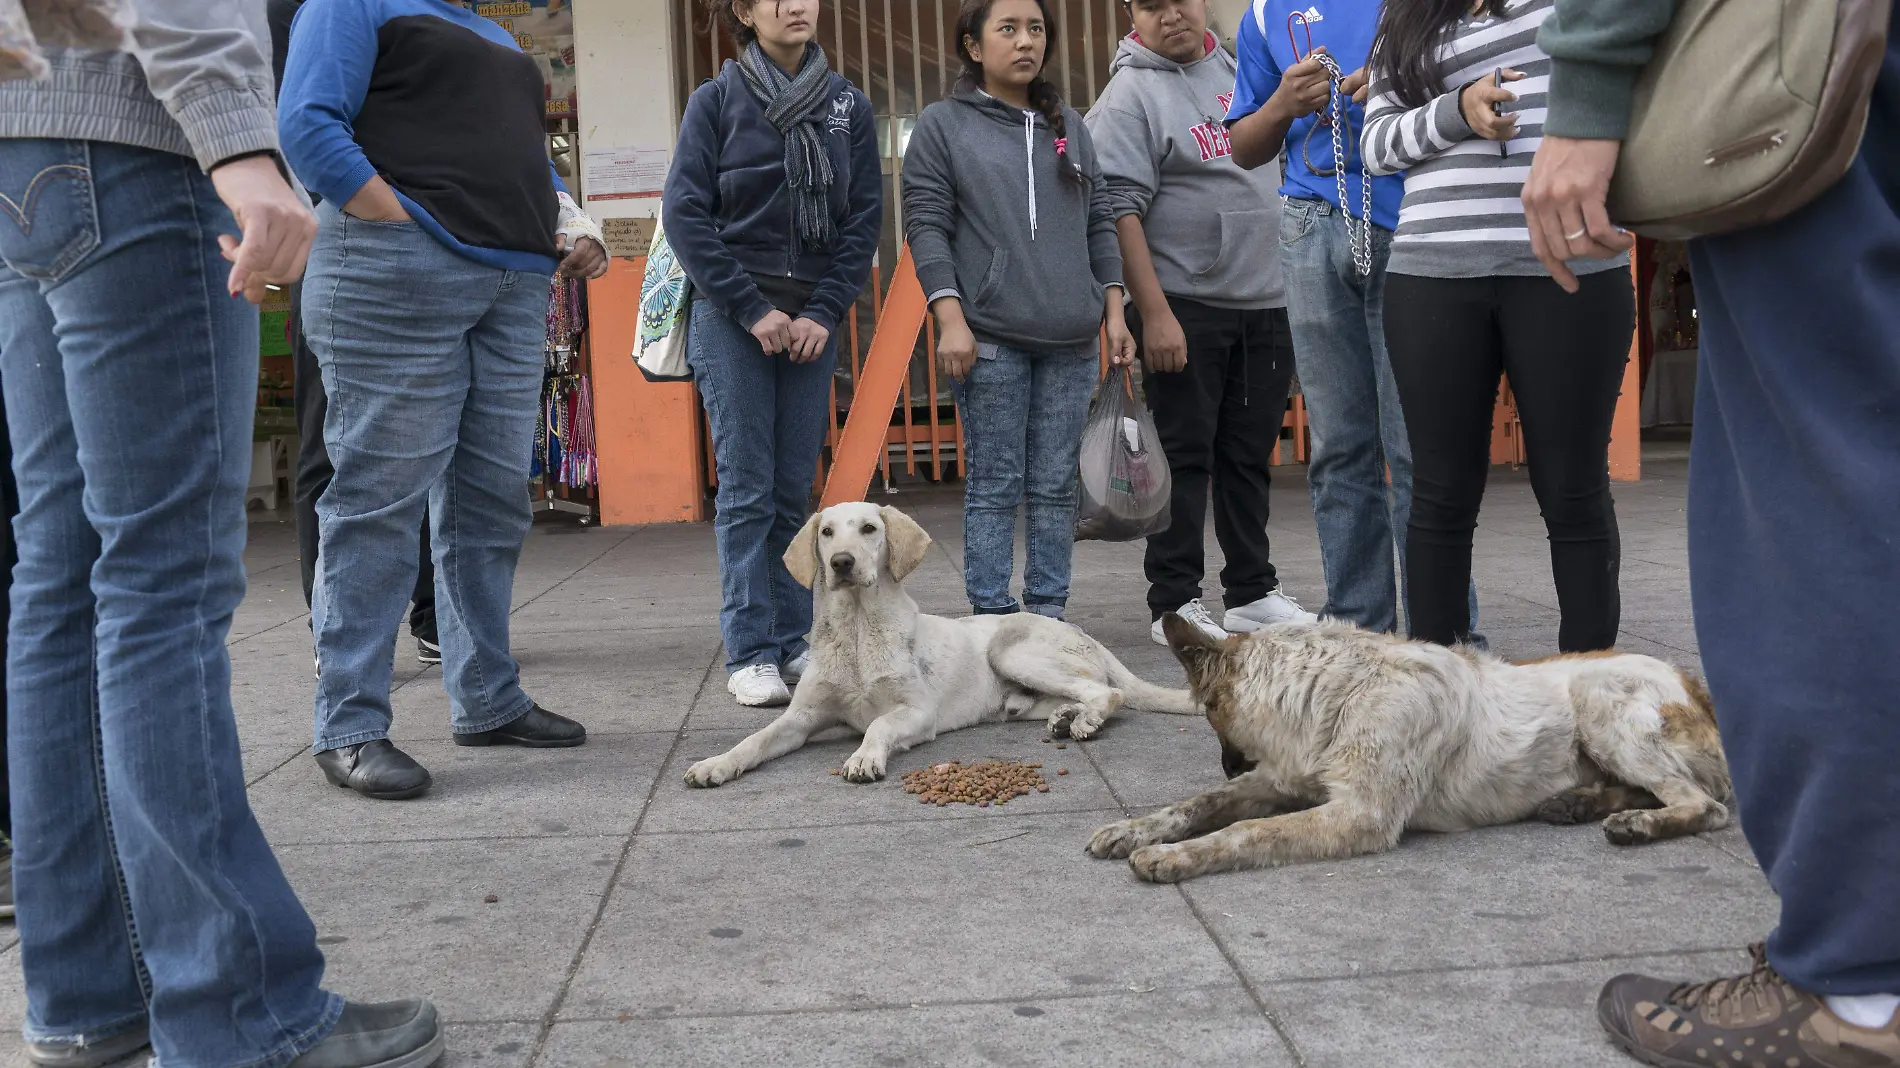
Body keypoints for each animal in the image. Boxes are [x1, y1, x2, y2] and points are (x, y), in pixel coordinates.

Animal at [680, 497, 1185, 782]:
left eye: (870, 529)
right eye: (826, 533)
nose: (842, 562)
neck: (859, 628)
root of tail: (1083, 632)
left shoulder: (918, 714)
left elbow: (879, 726)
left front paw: (864, 758)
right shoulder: (800, 718)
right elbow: (754, 740)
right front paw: (716, 764)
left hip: (1011, 650)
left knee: (1110, 692)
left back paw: (1085, 720)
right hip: (1017, 696)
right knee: (1065, 696)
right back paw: (1065, 717)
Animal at [1086, 611, 1740, 885]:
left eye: (1211, 719)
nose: (1225, 761)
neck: (1344, 690)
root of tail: (1701, 688)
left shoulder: (1359, 815)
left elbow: (1244, 832)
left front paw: (1173, 857)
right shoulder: (1280, 779)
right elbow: (1199, 804)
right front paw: (1135, 830)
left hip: (1599, 699)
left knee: (1705, 804)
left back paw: (1638, 823)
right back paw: (1580, 803)